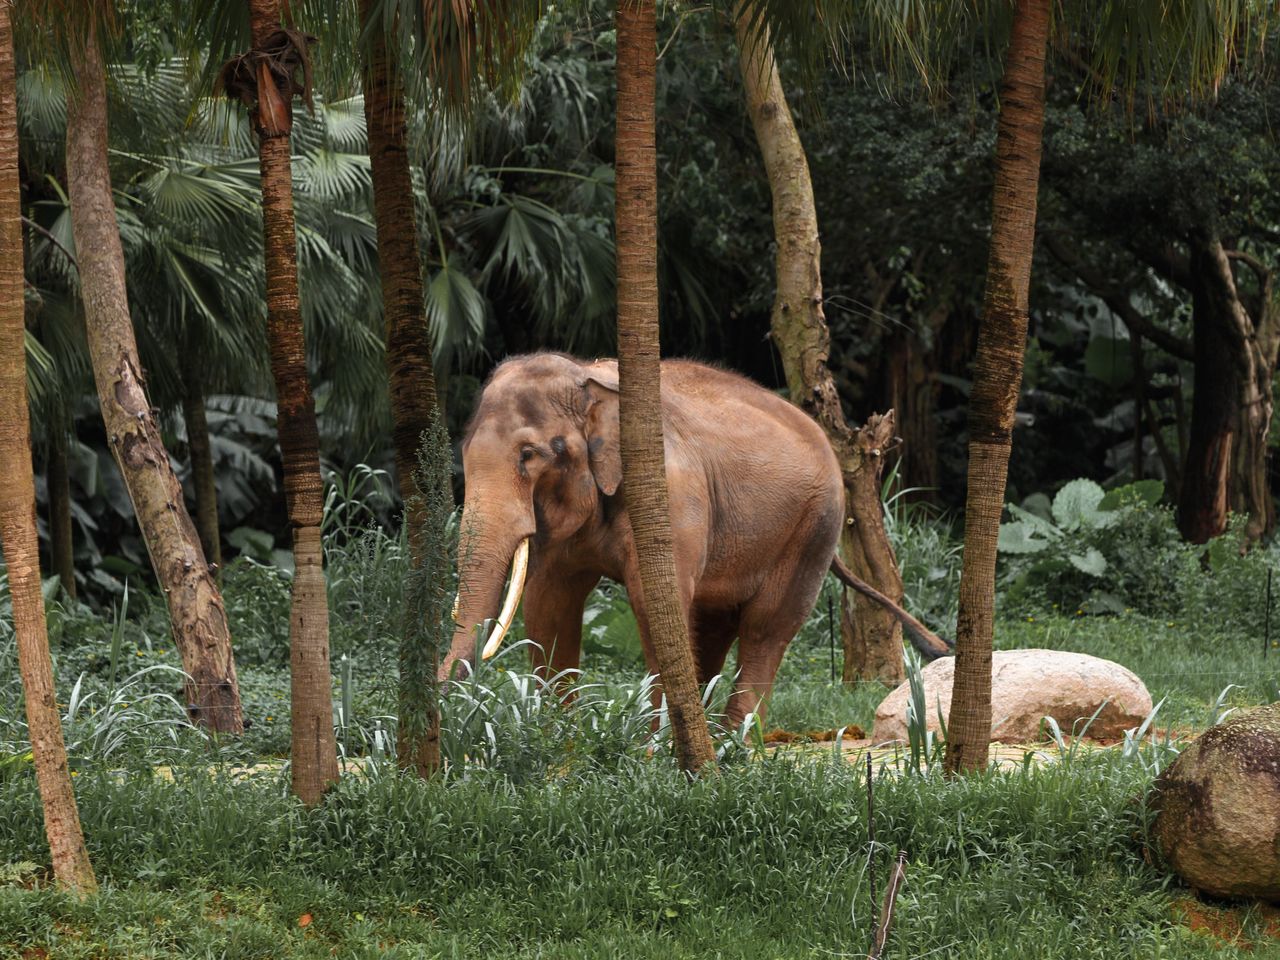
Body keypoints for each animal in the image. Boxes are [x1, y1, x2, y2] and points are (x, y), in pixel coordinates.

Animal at [441, 352, 947, 726]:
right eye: (462, 451)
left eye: (529, 455)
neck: (589, 378)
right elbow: (548, 604)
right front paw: (561, 742)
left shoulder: (670, 492)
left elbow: (653, 606)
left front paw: (645, 755)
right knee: (713, 625)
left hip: (815, 526)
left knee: (766, 628)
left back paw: (736, 747)